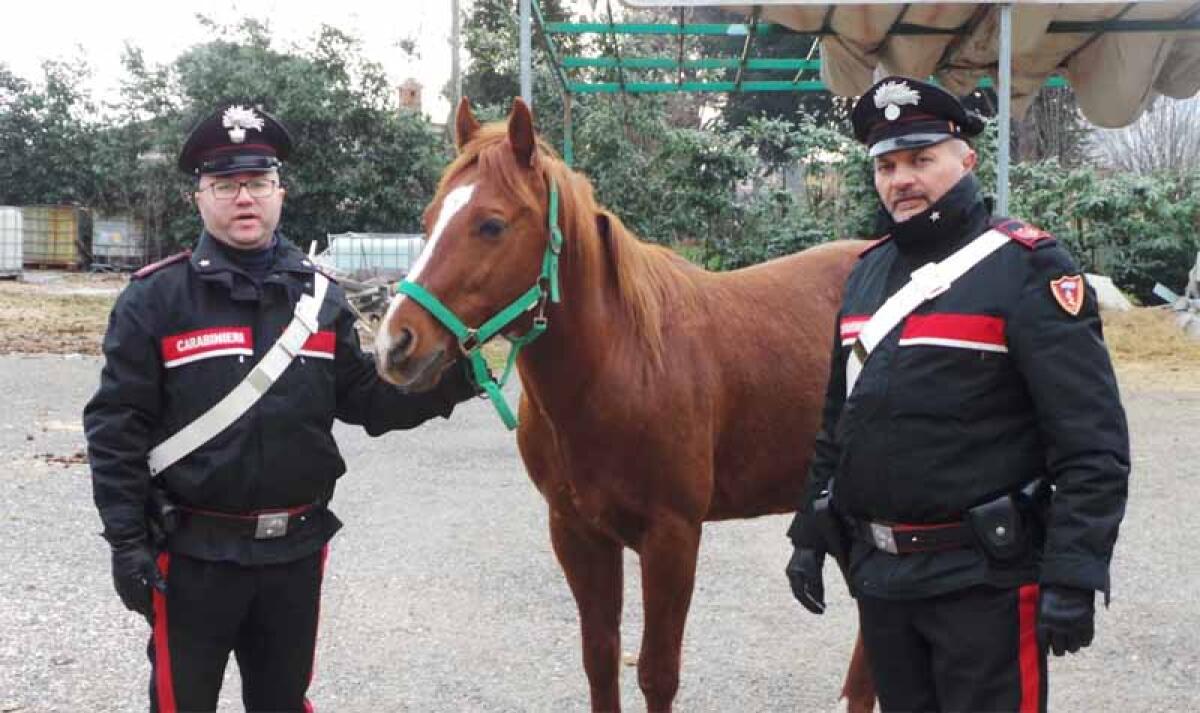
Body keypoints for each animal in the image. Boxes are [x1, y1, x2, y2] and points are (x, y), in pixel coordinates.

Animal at [375, 97, 877, 713]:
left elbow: (658, 673)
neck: (621, 365)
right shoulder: (578, 533)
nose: (394, 345)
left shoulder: (672, 538)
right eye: (427, 222)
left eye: (491, 225)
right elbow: (601, 659)